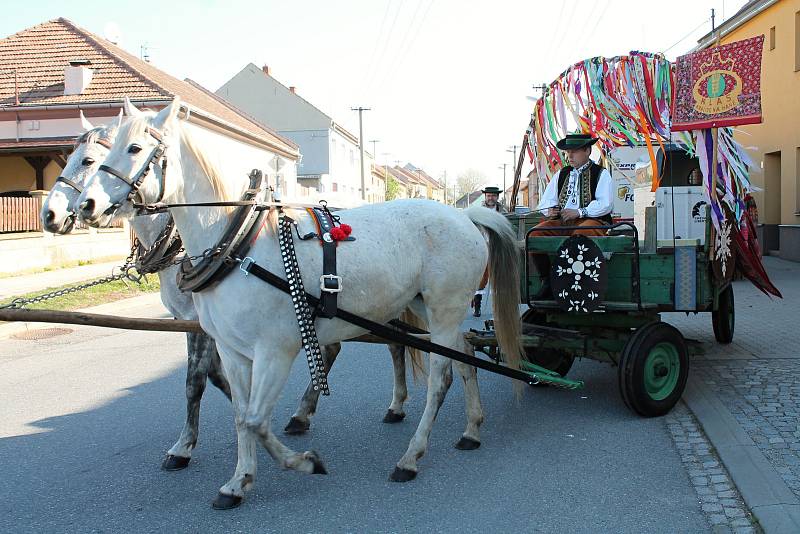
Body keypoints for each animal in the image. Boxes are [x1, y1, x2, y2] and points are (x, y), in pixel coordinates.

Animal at [78, 98, 520, 512]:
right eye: (103, 149)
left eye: (134, 148)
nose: (86, 205)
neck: (239, 244)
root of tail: (466, 216)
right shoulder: (233, 352)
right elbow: (241, 417)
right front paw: (238, 482)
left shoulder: (275, 352)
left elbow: (256, 420)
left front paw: (304, 462)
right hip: (430, 309)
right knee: (464, 358)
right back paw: (472, 429)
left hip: (444, 310)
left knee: (441, 379)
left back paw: (410, 457)